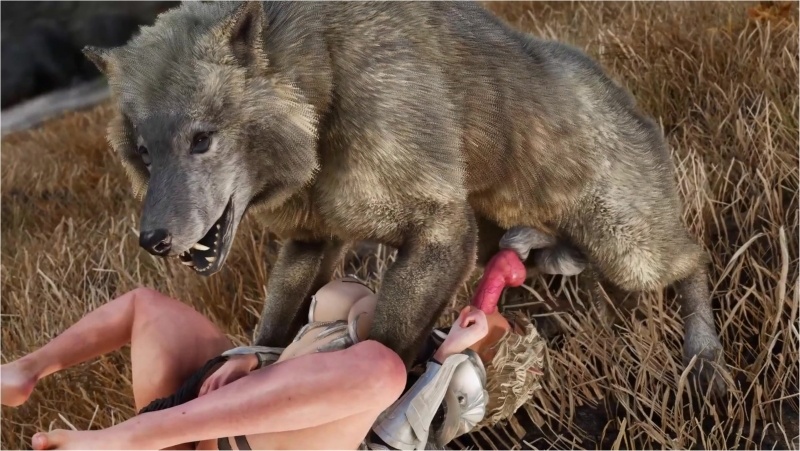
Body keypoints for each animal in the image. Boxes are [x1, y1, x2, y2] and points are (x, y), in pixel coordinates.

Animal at [83, 1, 728, 396]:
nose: (153, 239)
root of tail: (625, 97)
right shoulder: (314, 239)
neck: (325, 86)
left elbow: (386, 346)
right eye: (143, 151)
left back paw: (704, 357)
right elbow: (275, 325)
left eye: (201, 139)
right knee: (555, 259)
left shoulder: (440, 226)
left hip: (627, 247)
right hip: (515, 237)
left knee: (692, 258)